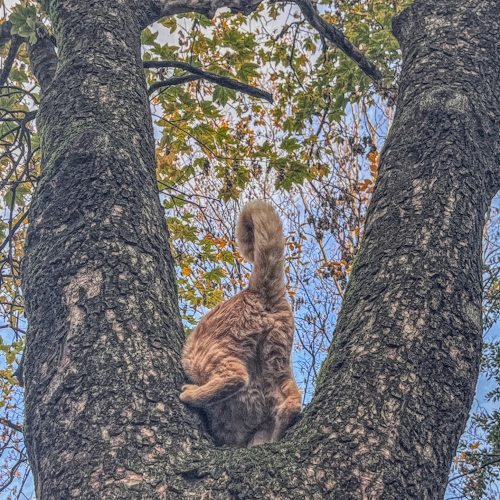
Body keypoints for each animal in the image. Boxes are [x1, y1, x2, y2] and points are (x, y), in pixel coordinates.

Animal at [180, 200, 302, 447]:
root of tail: (255, 290)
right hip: (276, 361)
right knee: (293, 400)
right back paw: (280, 431)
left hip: (201, 355)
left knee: (235, 377)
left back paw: (190, 394)